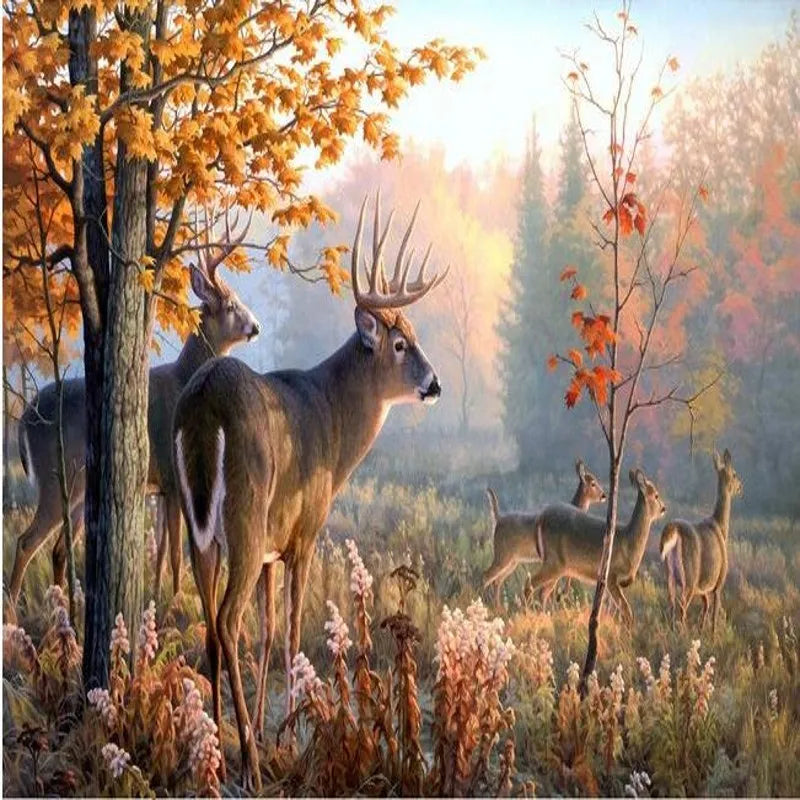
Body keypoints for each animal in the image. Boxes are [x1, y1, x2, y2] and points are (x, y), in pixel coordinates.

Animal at [5, 220, 258, 623]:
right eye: (231, 304)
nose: (256, 326)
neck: (185, 378)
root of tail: (26, 417)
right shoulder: (172, 476)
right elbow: (176, 554)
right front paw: (173, 606)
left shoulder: (159, 486)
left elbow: (160, 553)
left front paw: (157, 601)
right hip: (55, 478)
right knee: (27, 541)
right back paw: (16, 617)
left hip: (79, 488)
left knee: (58, 549)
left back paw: (66, 615)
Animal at [171, 193, 448, 791]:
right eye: (400, 343)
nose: (435, 384)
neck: (331, 421)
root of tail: (203, 403)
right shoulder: (303, 533)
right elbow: (294, 630)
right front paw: (293, 740)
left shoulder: (273, 550)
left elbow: (270, 629)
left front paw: (270, 731)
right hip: (245, 517)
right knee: (226, 620)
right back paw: (249, 767)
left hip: (199, 527)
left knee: (211, 623)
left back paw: (217, 750)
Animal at [483, 459, 606, 608]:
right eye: (593, 483)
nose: (604, 496)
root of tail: (498, 519)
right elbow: (554, 588)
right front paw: (556, 603)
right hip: (503, 555)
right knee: (486, 576)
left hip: (512, 561)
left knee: (497, 580)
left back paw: (499, 608)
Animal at [526, 469, 666, 627]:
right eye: (656, 495)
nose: (664, 508)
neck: (628, 542)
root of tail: (540, 519)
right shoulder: (610, 576)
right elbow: (627, 611)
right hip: (554, 562)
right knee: (530, 585)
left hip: (559, 568)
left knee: (543, 592)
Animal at [659, 448, 742, 633]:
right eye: (734, 474)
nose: (741, 486)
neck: (721, 527)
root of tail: (674, 529)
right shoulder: (719, 581)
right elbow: (714, 613)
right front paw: (713, 635)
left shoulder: (703, 588)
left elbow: (705, 608)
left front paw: (701, 630)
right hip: (689, 575)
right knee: (682, 605)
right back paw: (681, 634)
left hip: (669, 573)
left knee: (671, 603)